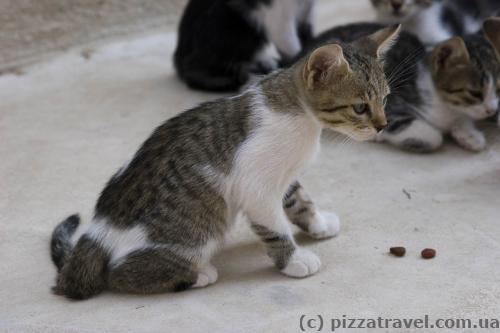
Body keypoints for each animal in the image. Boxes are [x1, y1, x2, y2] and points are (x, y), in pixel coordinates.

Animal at [50, 24, 400, 296]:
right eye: (359, 107)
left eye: (385, 99)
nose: (382, 126)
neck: (300, 116)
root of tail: (95, 235)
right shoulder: (256, 186)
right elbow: (274, 226)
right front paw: (293, 260)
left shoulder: (281, 175)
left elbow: (299, 199)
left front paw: (318, 224)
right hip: (195, 234)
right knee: (120, 274)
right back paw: (197, 274)